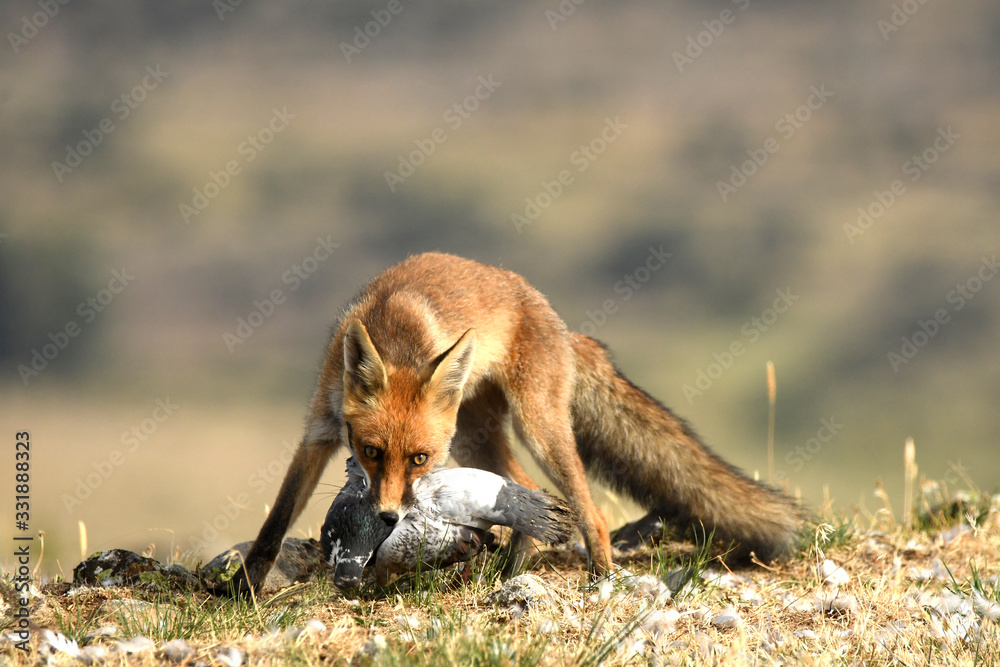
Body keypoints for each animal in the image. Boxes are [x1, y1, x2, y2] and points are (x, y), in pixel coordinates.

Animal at [232, 252, 802, 593]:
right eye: (371, 452)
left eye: (419, 459)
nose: (390, 517)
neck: (396, 331)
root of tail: (564, 327)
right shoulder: (319, 432)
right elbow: (274, 522)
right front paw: (245, 589)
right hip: (474, 440)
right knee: (524, 488)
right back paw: (512, 566)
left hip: (538, 429)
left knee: (590, 512)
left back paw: (598, 578)